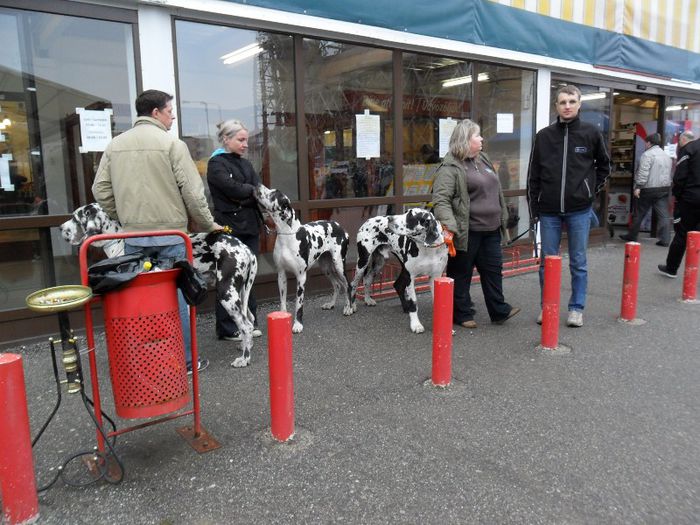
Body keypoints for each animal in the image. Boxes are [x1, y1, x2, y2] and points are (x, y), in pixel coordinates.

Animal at [60, 203, 258, 366]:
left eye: (76, 217)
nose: (61, 228)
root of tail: (245, 248)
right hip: (240, 294)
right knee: (249, 318)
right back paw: (244, 345)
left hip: (227, 294)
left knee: (246, 325)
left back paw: (245, 358)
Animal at [254, 184, 352, 332]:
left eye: (273, 194)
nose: (258, 185)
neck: (287, 235)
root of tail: (341, 227)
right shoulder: (281, 275)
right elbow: (282, 301)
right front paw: (282, 317)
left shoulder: (301, 277)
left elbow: (298, 305)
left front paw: (298, 324)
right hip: (326, 268)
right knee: (337, 285)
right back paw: (331, 304)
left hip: (339, 266)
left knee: (348, 285)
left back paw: (349, 307)